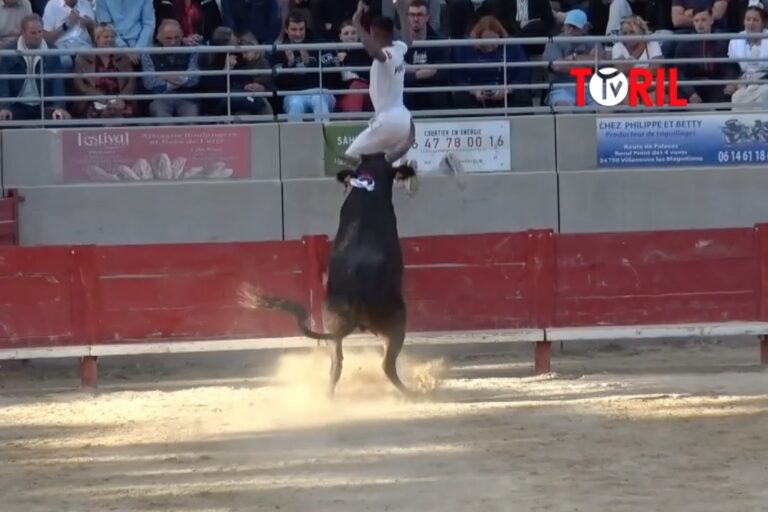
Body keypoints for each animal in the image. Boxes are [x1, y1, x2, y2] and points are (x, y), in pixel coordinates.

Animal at [242, 153, 416, 396]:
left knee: (336, 364)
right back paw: (411, 393)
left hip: (331, 324)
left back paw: (328, 396)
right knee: (386, 364)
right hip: (396, 320)